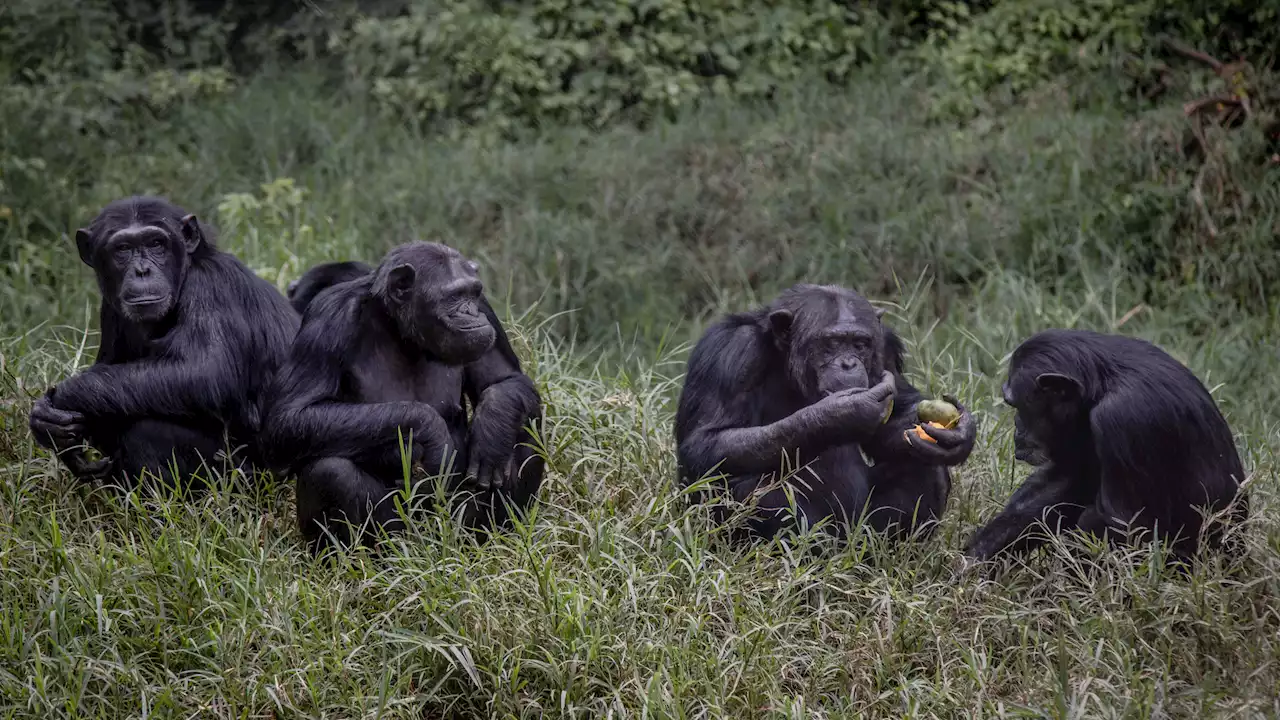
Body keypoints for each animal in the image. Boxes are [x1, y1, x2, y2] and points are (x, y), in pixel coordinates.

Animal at [30, 196, 302, 486]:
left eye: (156, 244)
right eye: (122, 249)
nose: (142, 270)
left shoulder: (211, 286)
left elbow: (205, 371)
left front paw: (61, 400)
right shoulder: (110, 310)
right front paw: (46, 423)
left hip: (251, 479)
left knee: (146, 431)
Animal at [262, 240, 542, 548]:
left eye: (473, 292)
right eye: (454, 296)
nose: (471, 312)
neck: (399, 329)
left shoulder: (487, 312)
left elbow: (504, 380)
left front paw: (492, 431)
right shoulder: (327, 318)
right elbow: (290, 418)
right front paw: (431, 430)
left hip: (457, 523)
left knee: (525, 430)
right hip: (400, 533)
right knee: (331, 472)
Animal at [675, 283, 972, 540]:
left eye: (860, 344)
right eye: (831, 344)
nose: (848, 363)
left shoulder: (885, 346)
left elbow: (895, 420)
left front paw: (961, 434)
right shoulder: (730, 352)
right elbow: (706, 442)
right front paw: (843, 414)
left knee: (925, 464)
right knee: (754, 488)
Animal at [962, 330, 1244, 561]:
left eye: (1015, 404)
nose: (1016, 426)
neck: (1101, 384)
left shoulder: (1121, 418)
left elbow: (1121, 524)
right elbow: (1066, 482)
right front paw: (976, 558)